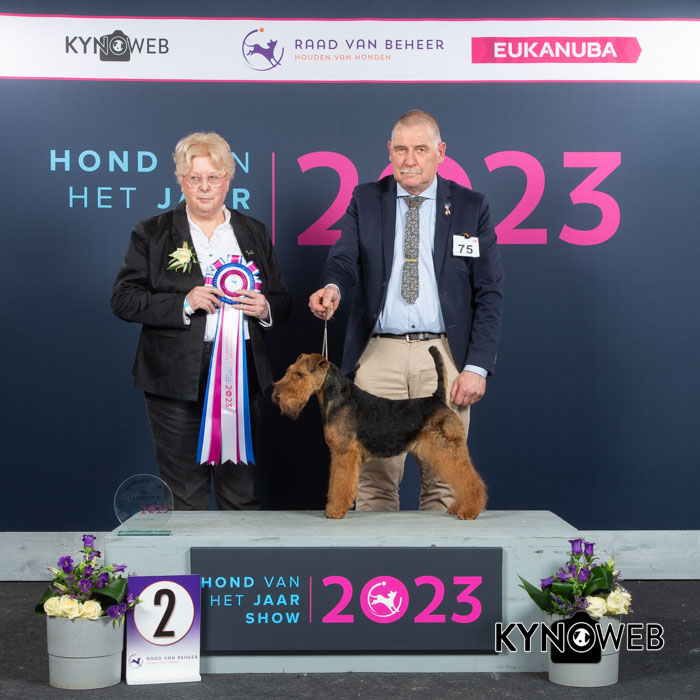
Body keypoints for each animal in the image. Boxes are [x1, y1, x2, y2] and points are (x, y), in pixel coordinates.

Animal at [272, 347, 487, 520]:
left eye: (299, 374)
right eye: (289, 371)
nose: (276, 396)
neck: (339, 399)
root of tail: (438, 398)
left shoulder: (345, 454)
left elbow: (341, 484)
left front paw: (334, 511)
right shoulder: (337, 454)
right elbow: (334, 484)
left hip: (447, 449)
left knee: (470, 480)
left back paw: (469, 511)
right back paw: (458, 508)